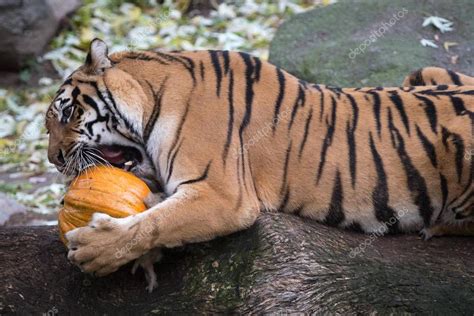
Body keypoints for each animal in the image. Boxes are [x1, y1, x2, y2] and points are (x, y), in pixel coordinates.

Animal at [45, 39, 474, 292]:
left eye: (66, 113)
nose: (54, 159)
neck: (153, 95)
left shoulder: (223, 194)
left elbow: (156, 222)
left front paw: (96, 249)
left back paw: (437, 225)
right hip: (425, 73)